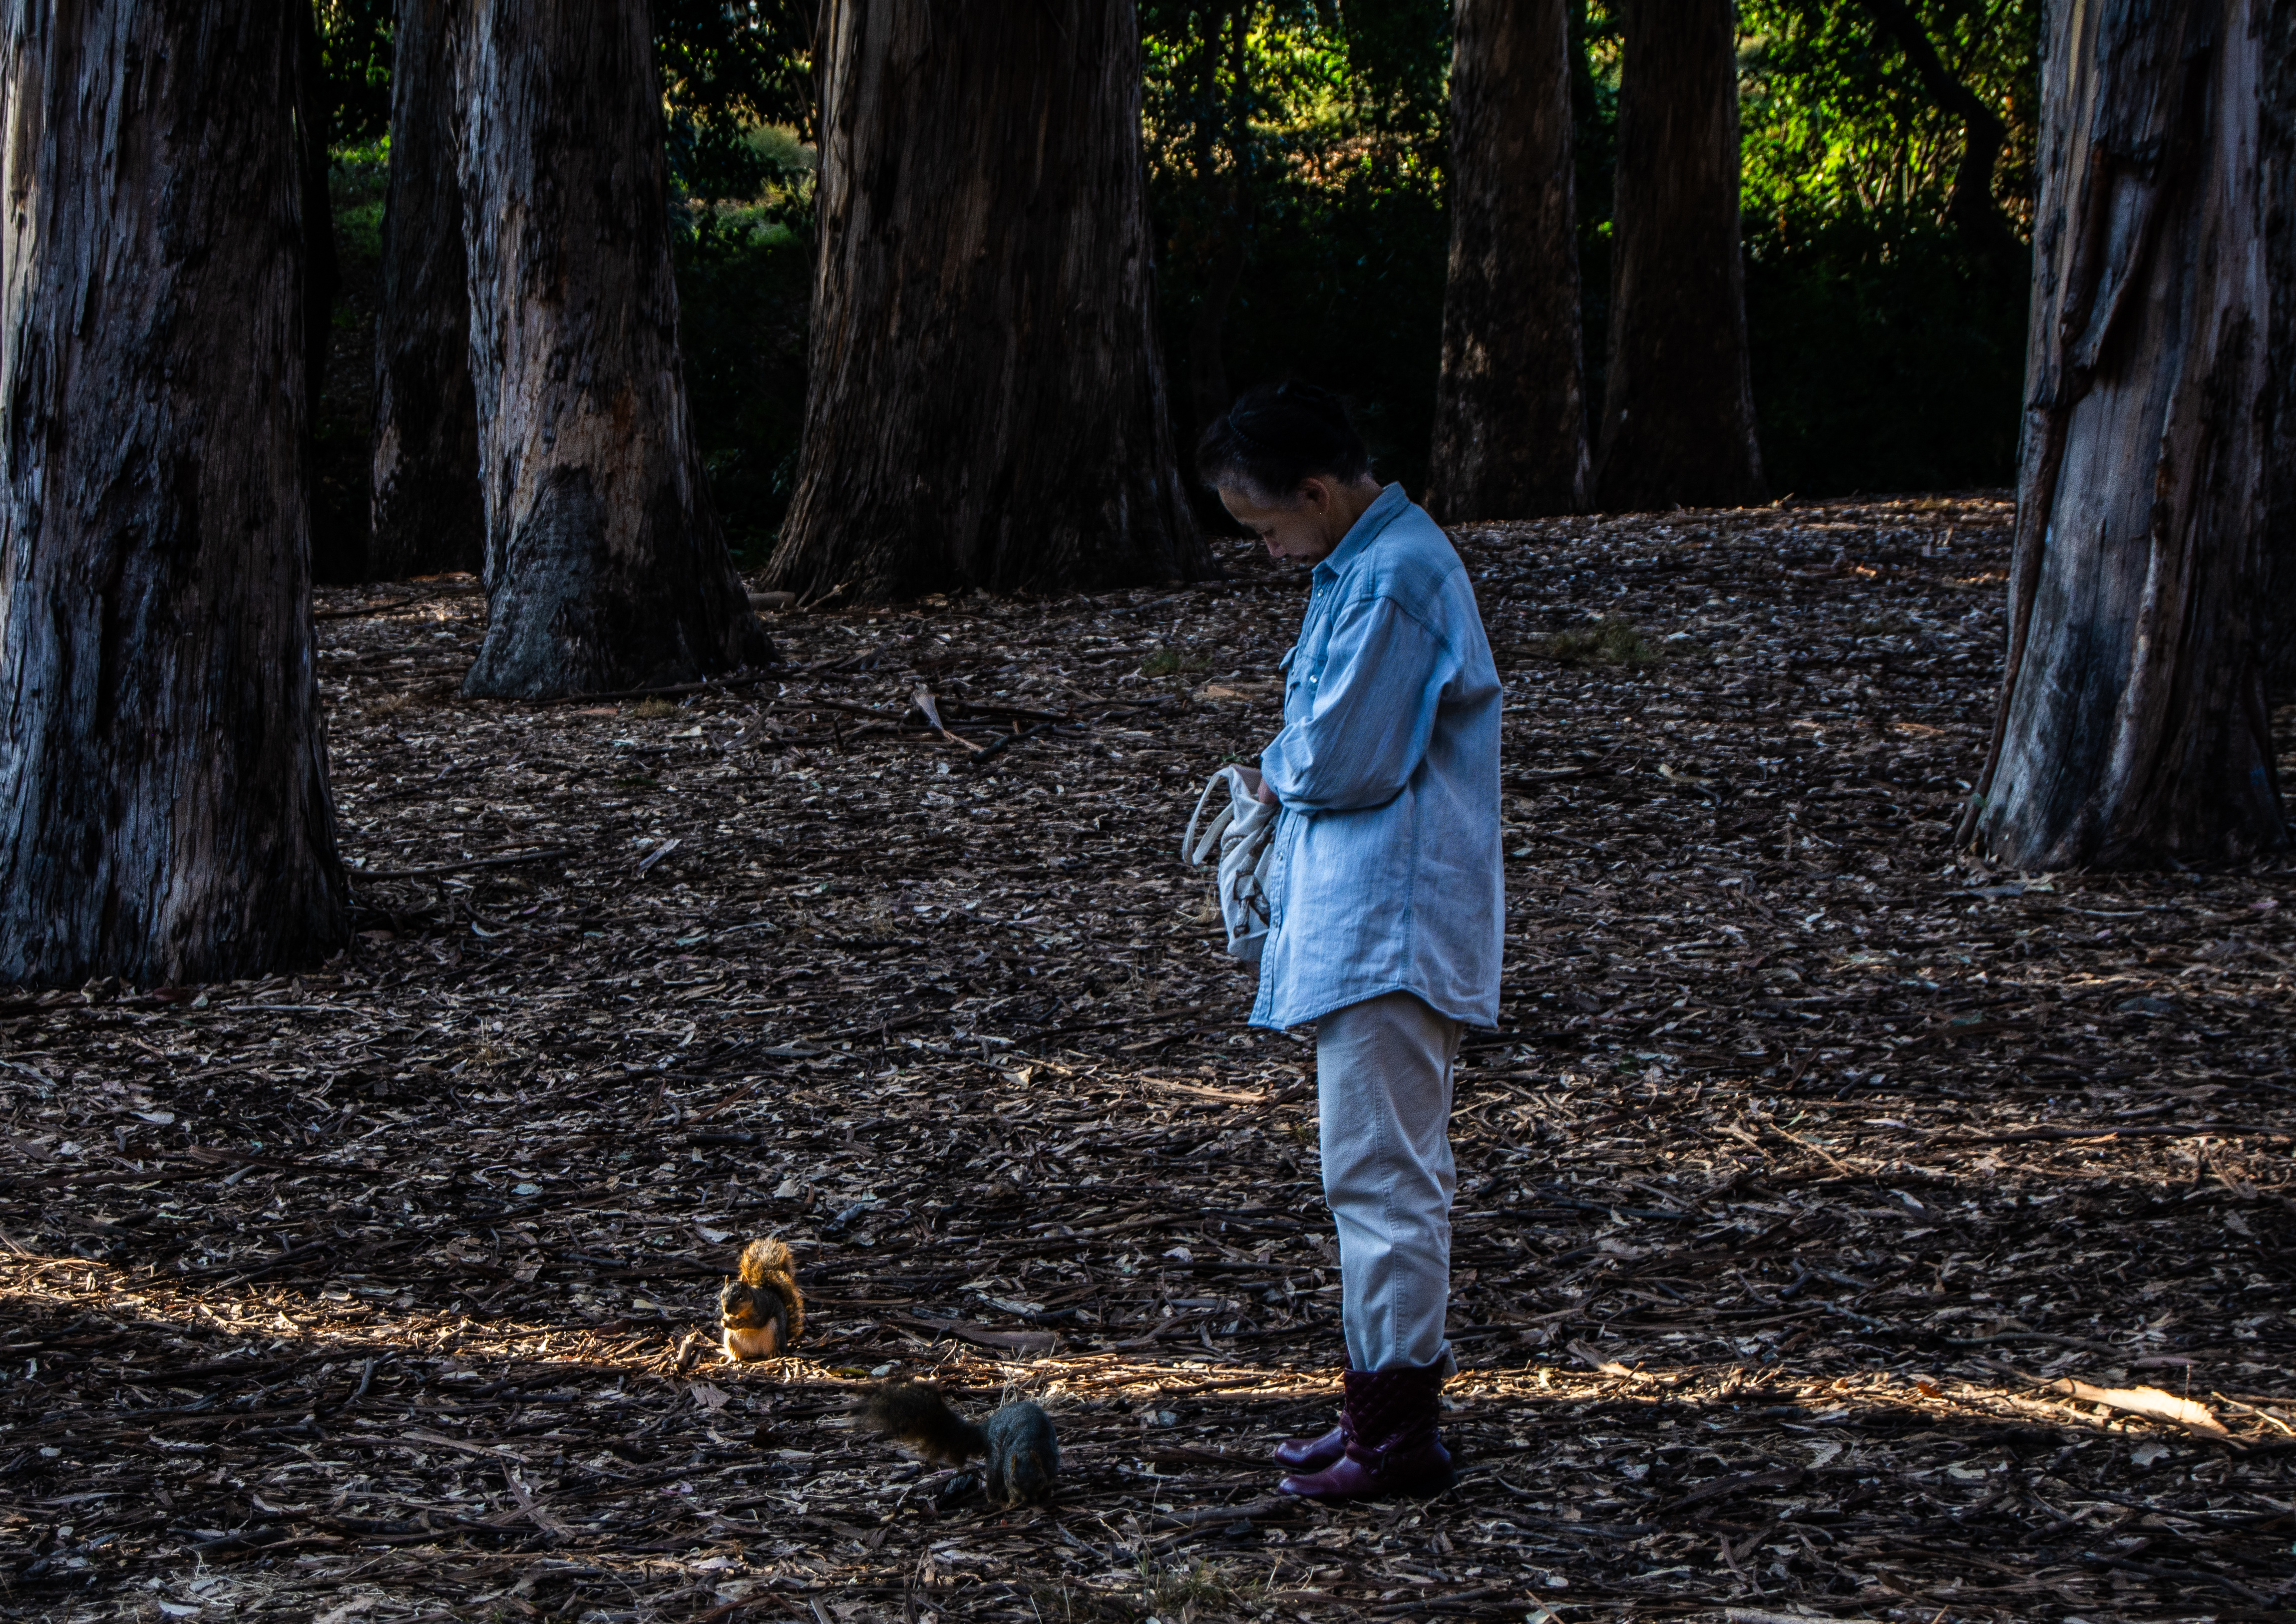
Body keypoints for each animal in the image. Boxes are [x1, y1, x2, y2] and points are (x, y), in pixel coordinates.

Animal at [718, 1237, 804, 1361]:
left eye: (740, 1296)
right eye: (722, 1296)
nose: (727, 1310)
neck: (743, 1311)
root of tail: (755, 1352)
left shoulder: (763, 1306)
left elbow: (757, 1322)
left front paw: (743, 1322)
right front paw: (723, 1322)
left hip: (776, 1333)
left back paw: (774, 1353)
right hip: (730, 1338)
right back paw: (736, 1358)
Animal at [861, 1379, 1060, 1506]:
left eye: (1039, 1479)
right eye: (1014, 1482)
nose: (1028, 1501)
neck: (1027, 1447)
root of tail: (988, 1426)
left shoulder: (1050, 1465)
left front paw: (1047, 1496)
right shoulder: (1006, 1470)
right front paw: (1012, 1501)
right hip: (997, 1460)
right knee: (992, 1479)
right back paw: (997, 1501)